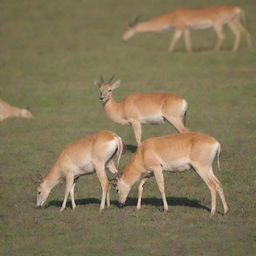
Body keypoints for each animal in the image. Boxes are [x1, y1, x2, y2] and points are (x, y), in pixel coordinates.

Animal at [123, 5, 252, 52]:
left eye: (128, 29)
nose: (123, 37)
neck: (171, 16)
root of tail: (237, 8)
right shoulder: (186, 29)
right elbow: (186, 40)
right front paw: (188, 51)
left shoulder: (180, 28)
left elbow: (175, 39)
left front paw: (169, 51)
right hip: (233, 22)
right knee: (244, 32)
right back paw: (245, 49)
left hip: (219, 24)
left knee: (223, 36)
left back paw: (215, 51)